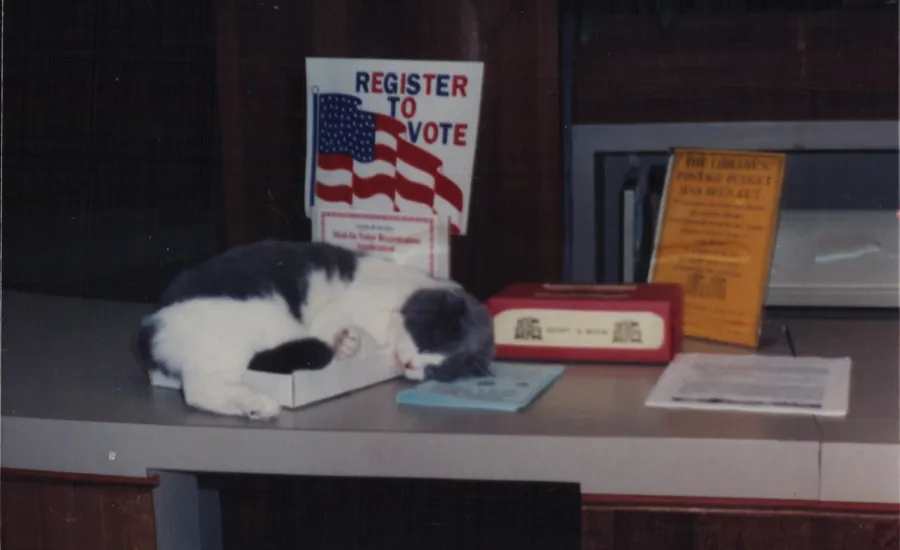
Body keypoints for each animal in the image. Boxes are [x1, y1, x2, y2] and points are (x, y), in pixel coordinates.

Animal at [137, 240, 496, 418]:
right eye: (428, 341)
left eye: (438, 371)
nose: (410, 366)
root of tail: (149, 327)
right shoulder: (341, 309)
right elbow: (339, 326)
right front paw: (348, 341)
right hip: (252, 323)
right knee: (197, 391)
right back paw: (260, 405)